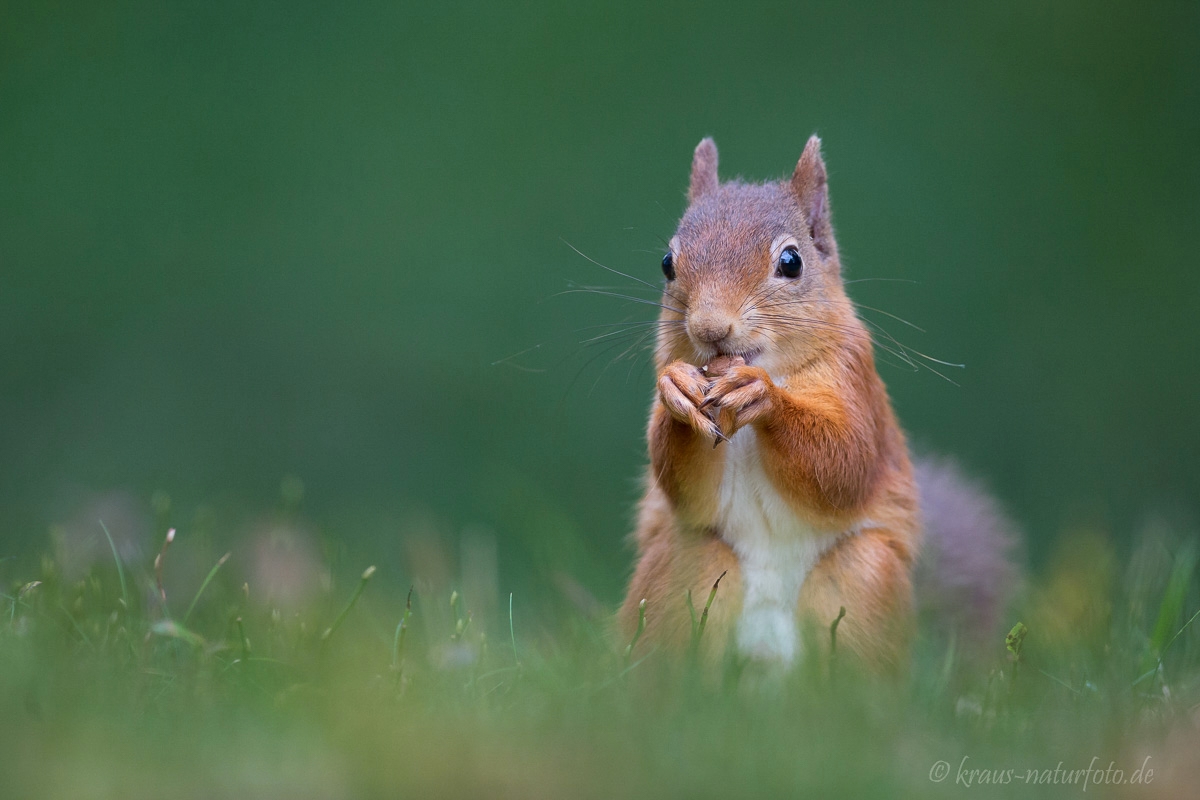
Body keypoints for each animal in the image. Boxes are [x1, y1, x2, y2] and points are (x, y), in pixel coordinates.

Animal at [624, 136, 1017, 671]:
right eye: (667, 262)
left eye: (791, 262)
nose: (710, 329)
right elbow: (686, 489)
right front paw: (678, 391)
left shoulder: (856, 382)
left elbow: (844, 464)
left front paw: (763, 395)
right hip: (685, 566)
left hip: (862, 575)